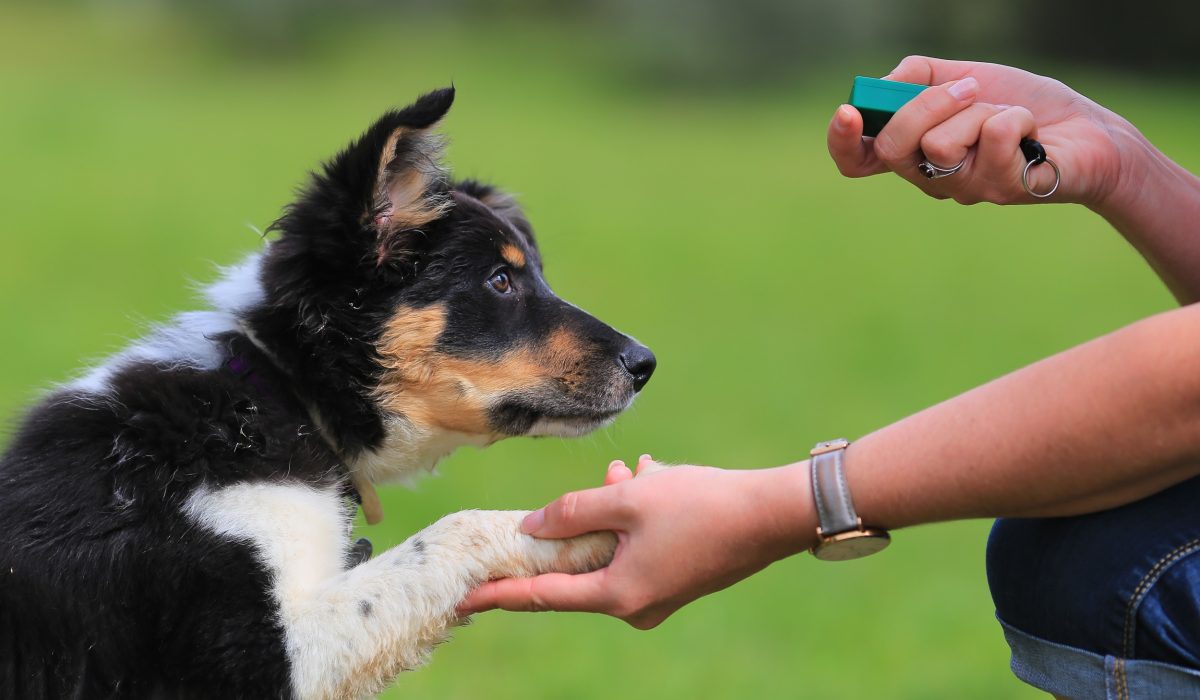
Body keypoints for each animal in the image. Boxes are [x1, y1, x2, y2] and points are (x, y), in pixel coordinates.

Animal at [0, 87, 657, 700]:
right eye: (500, 281)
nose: (645, 363)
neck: (276, 396)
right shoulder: (262, 657)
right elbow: (455, 530)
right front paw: (590, 525)